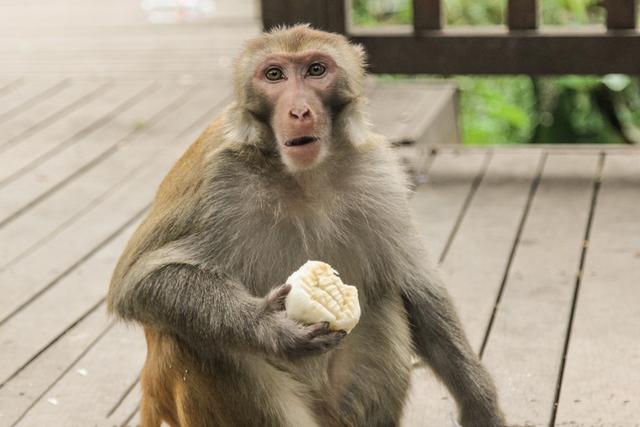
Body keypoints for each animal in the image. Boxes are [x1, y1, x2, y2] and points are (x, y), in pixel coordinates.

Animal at [107, 24, 508, 427]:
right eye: (274, 75)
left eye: (316, 70)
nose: (299, 110)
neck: (303, 177)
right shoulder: (219, 180)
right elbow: (139, 281)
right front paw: (270, 328)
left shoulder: (377, 174)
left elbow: (418, 290)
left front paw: (480, 402)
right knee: (188, 336)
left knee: (386, 297)